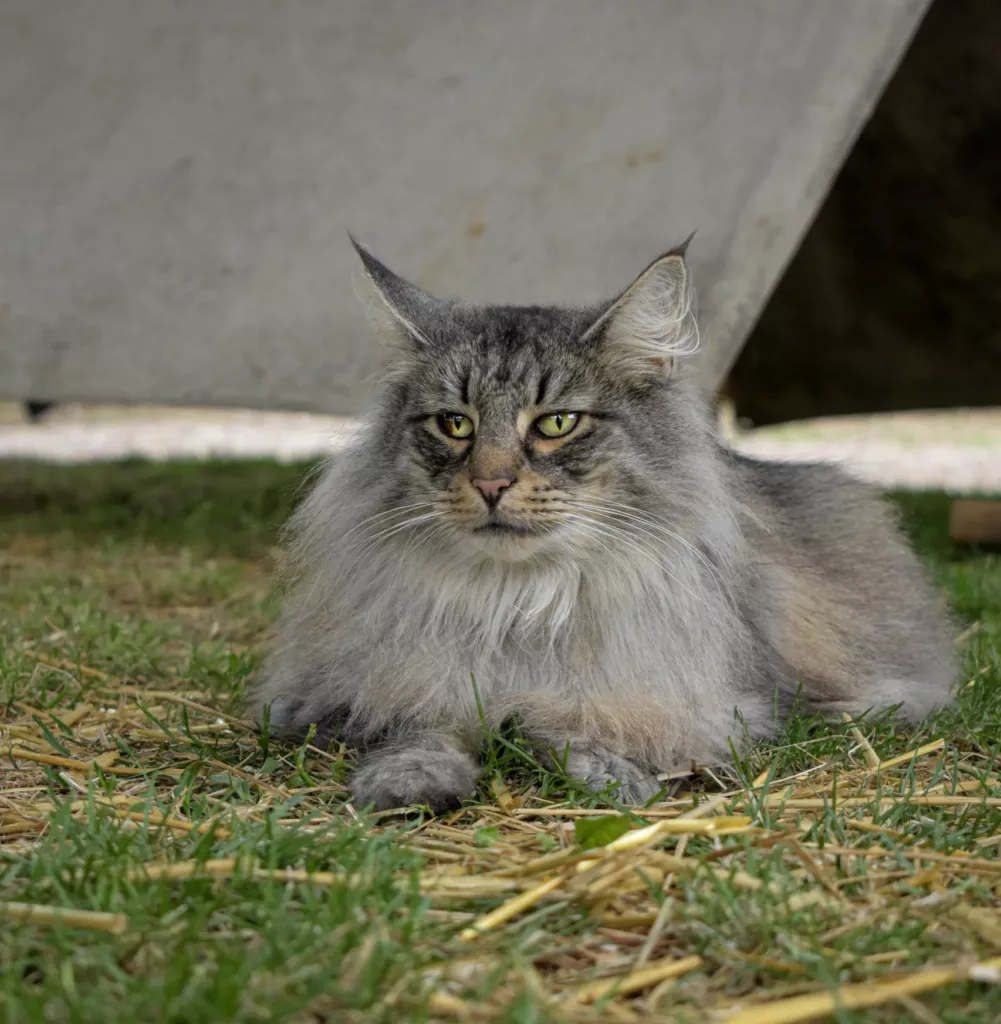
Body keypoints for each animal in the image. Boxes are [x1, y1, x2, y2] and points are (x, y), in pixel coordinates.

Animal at [249, 237, 953, 806]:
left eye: (557, 423)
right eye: (455, 424)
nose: (490, 484)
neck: (517, 605)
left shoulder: (710, 707)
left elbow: (572, 721)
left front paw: (608, 775)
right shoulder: (352, 692)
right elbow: (421, 723)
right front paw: (409, 783)